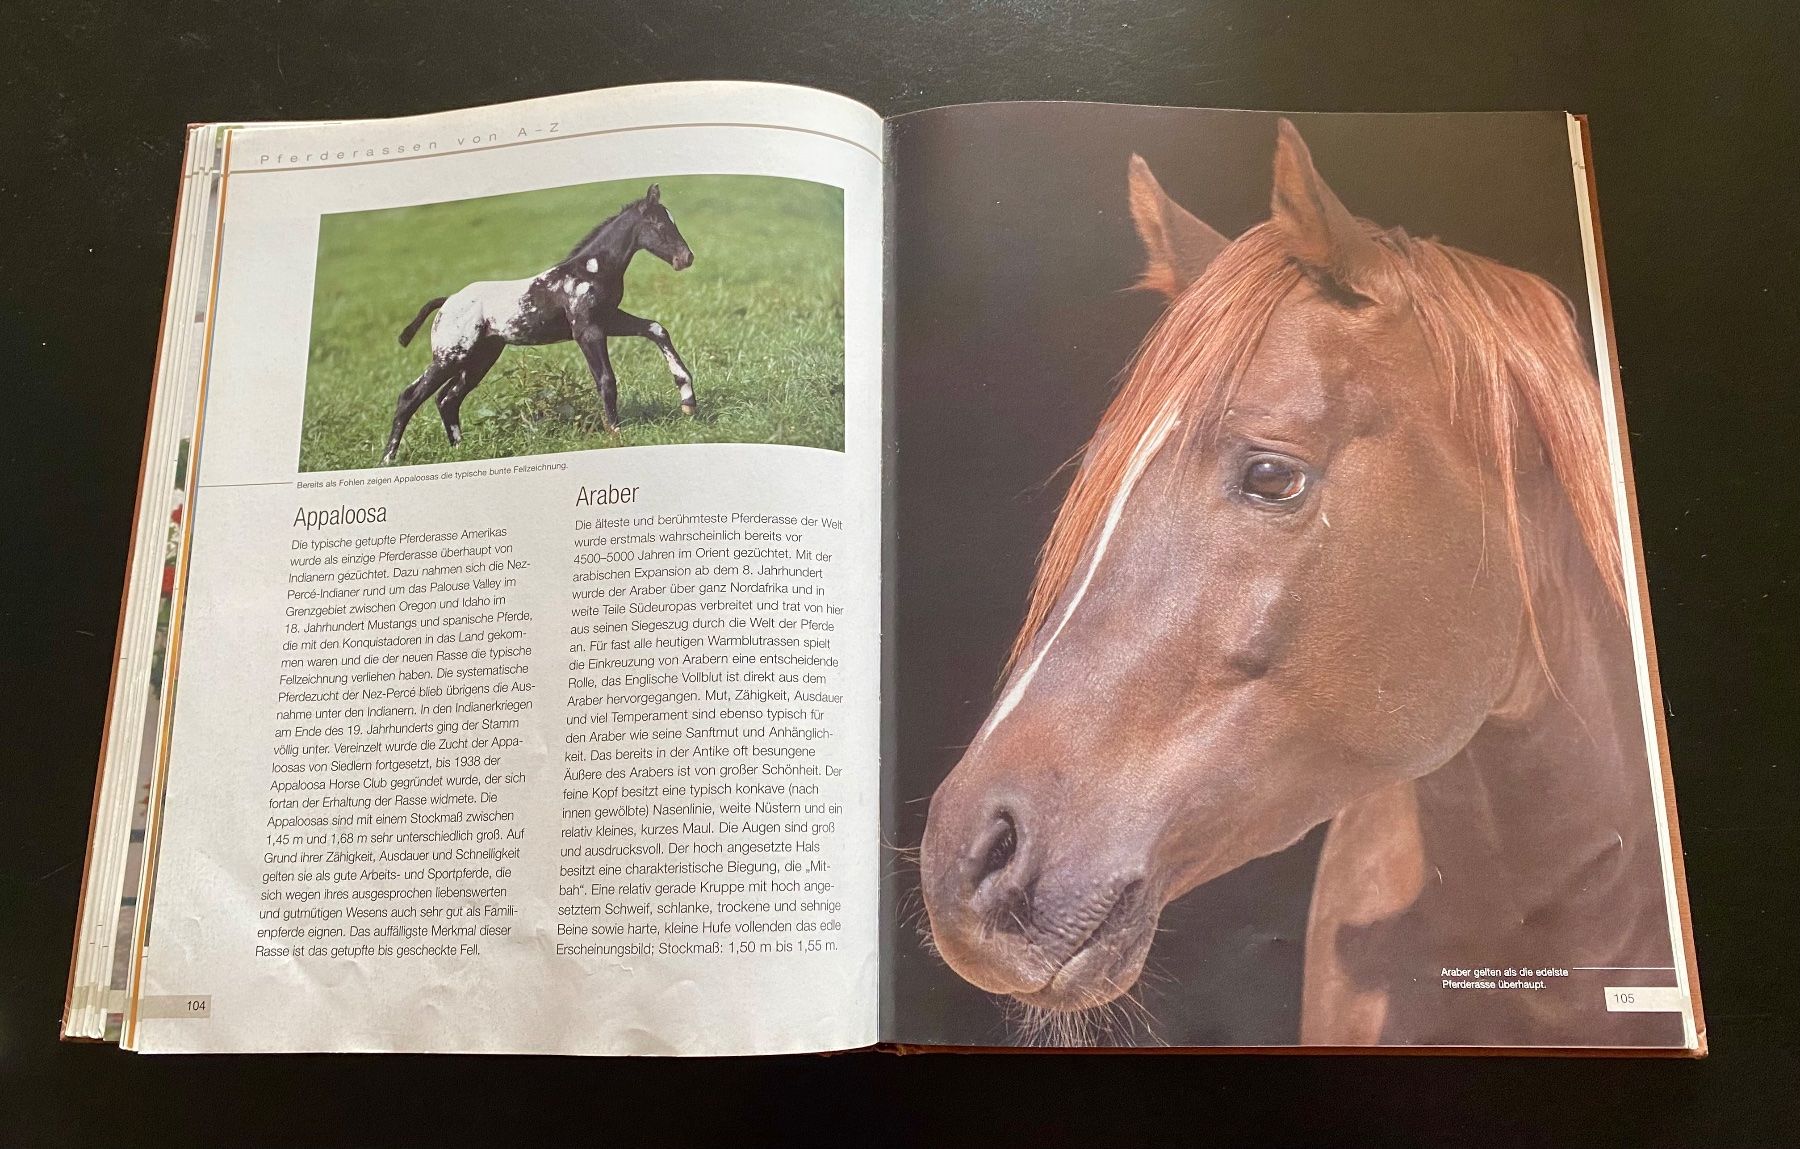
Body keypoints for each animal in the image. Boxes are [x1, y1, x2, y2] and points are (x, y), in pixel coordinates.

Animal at [381, 184, 696, 464]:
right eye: (658, 224)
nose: (686, 258)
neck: (589, 271)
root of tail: (446, 302)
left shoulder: (608, 320)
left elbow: (656, 329)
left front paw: (687, 400)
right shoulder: (587, 331)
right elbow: (606, 380)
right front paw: (616, 433)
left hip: (480, 358)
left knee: (447, 400)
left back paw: (460, 450)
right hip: (451, 356)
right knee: (410, 396)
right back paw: (388, 459)